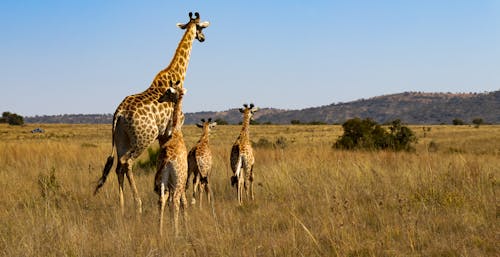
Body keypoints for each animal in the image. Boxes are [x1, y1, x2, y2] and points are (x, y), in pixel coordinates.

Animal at [94, 12, 209, 214]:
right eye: (201, 28)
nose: (203, 38)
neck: (178, 74)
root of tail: (118, 114)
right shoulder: (172, 128)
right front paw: (182, 202)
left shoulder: (163, 134)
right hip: (143, 137)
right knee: (127, 162)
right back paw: (137, 204)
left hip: (122, 139)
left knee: (117, 166)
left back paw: (121, 206)